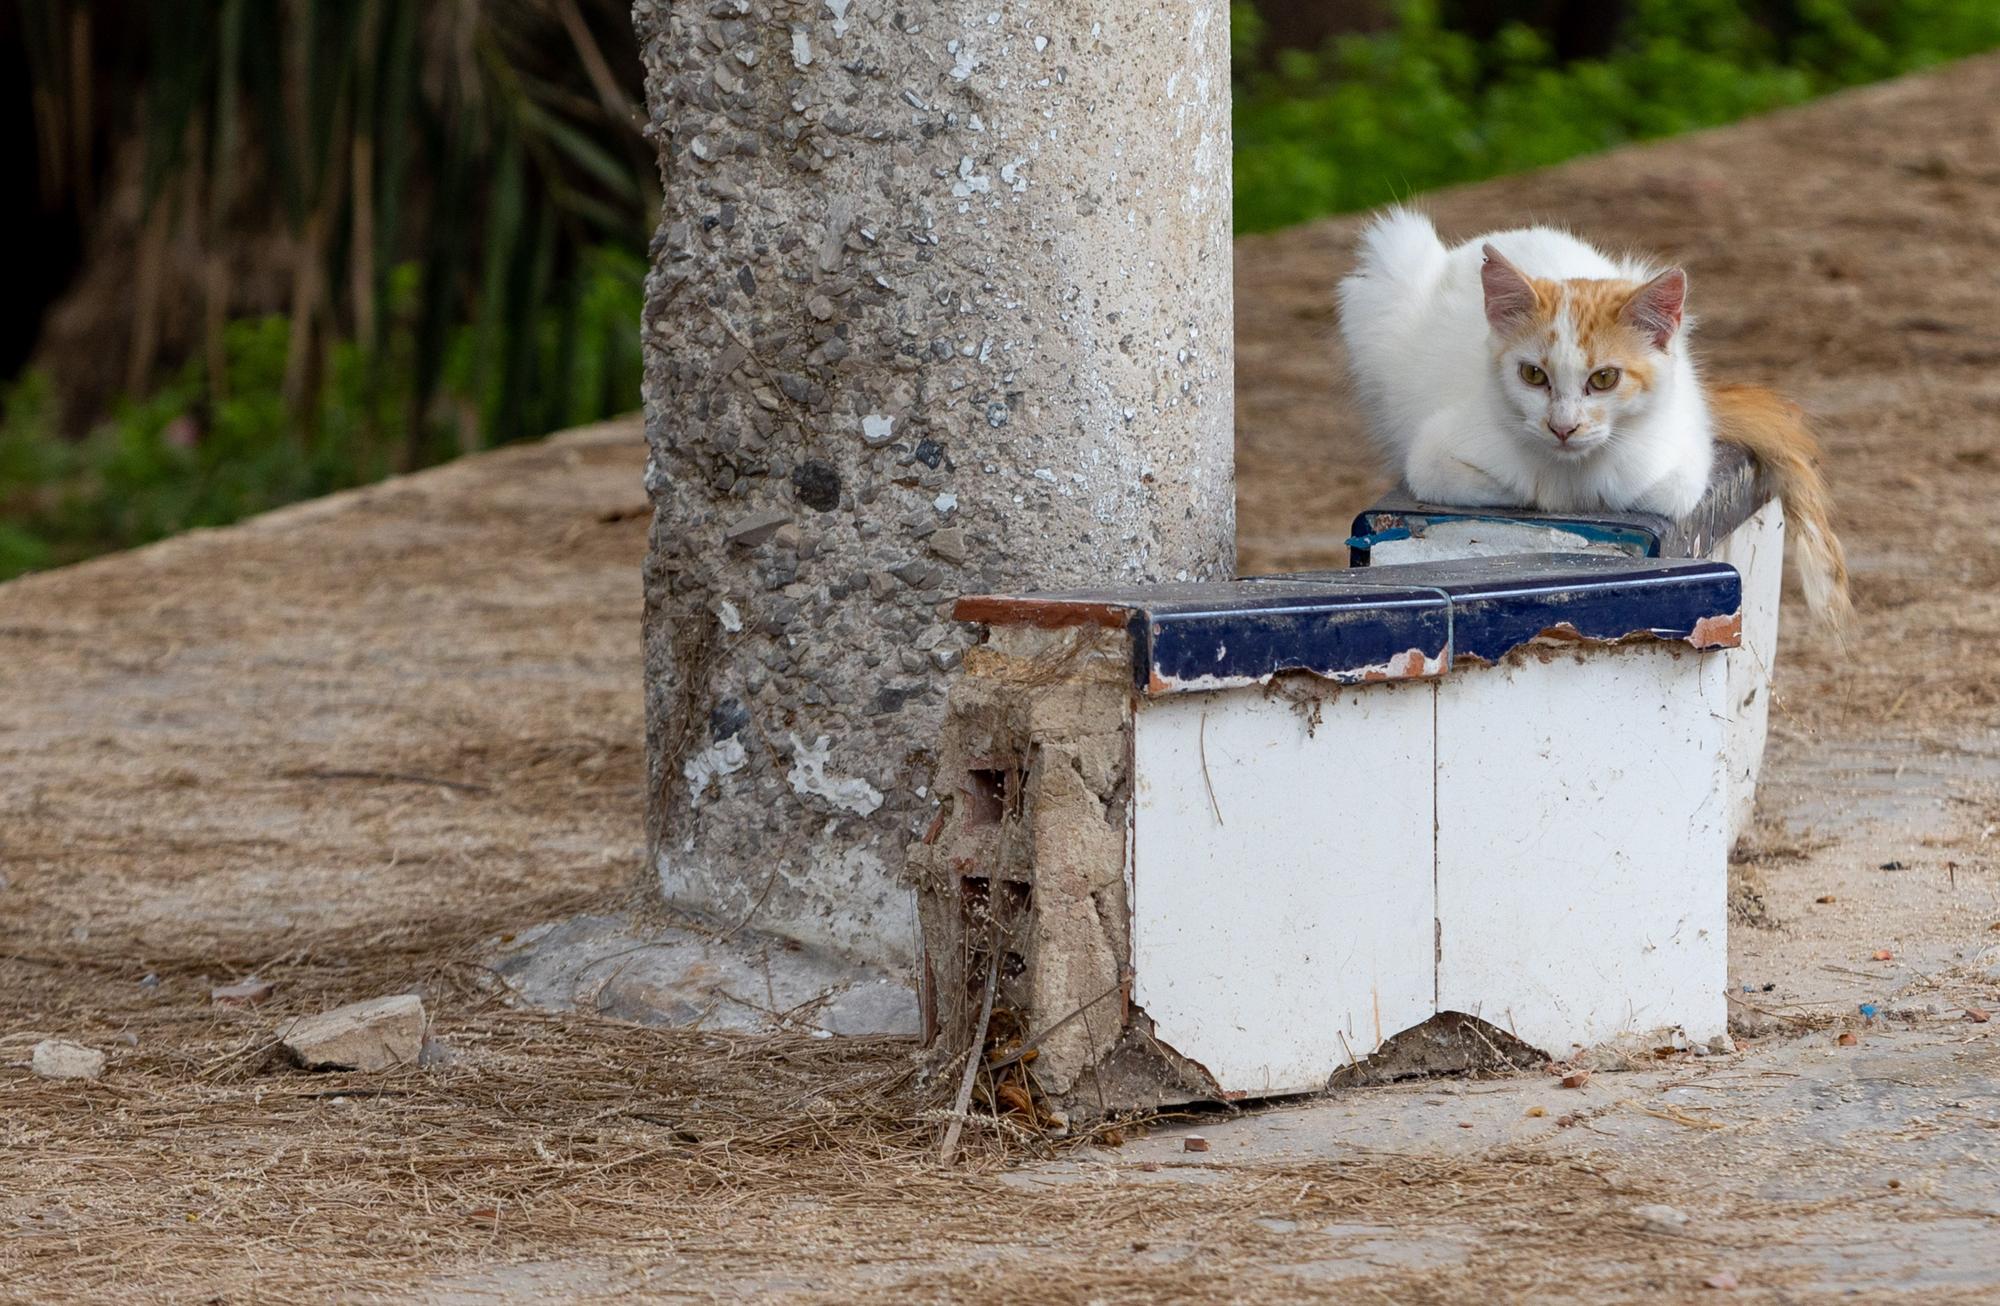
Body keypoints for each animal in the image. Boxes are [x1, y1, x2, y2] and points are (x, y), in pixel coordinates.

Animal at [1336, 208, 1848, 620]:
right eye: (1532, 375)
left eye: (1604, 379)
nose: (1562, 427)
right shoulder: (1432, 457)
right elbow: (1506, 485)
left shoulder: (1683, 461)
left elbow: (1640, 488)